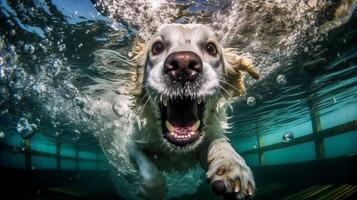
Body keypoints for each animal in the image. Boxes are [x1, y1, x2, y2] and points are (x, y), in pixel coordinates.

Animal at [88, 23, 258, 200]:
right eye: (157, 47)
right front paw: (151, 192)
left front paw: (234, 167)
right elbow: (151, 175)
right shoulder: (132, 145)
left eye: (211, 48)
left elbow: (220, 142)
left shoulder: (207, 139)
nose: (183, 63)